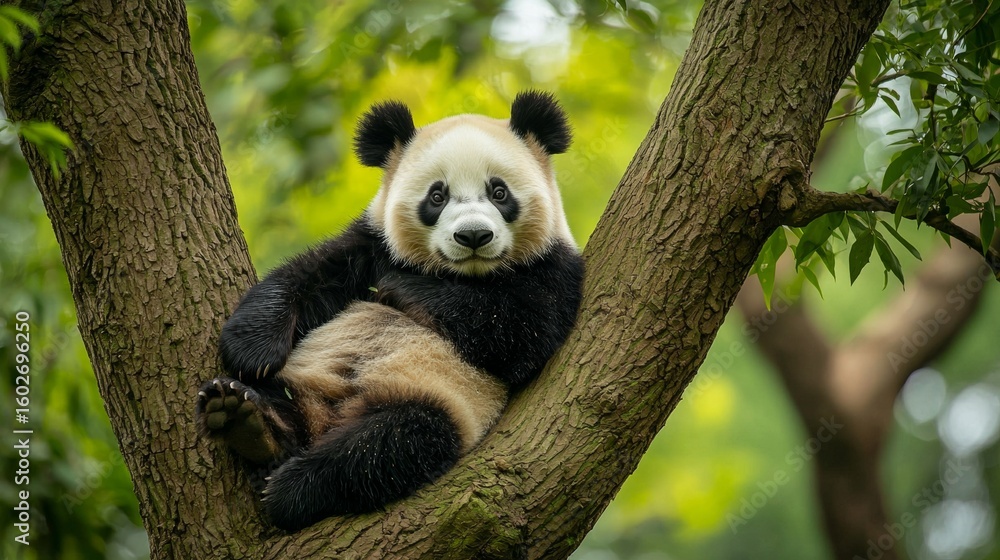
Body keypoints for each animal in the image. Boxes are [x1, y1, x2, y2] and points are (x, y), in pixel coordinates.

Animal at [196, 91, 585, 532]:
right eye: (437, 196)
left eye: (499, 192)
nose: (473, 235)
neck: (467, 275)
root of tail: (324, 418)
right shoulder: (371, 244)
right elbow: (307, 276)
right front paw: (252, 350)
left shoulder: (555, 272)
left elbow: (519, 332)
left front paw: (400, 288)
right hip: (302, 382)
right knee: (282, 401)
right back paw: (244, 418)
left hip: (441, 402)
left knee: (386, 448)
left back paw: (291, 485)